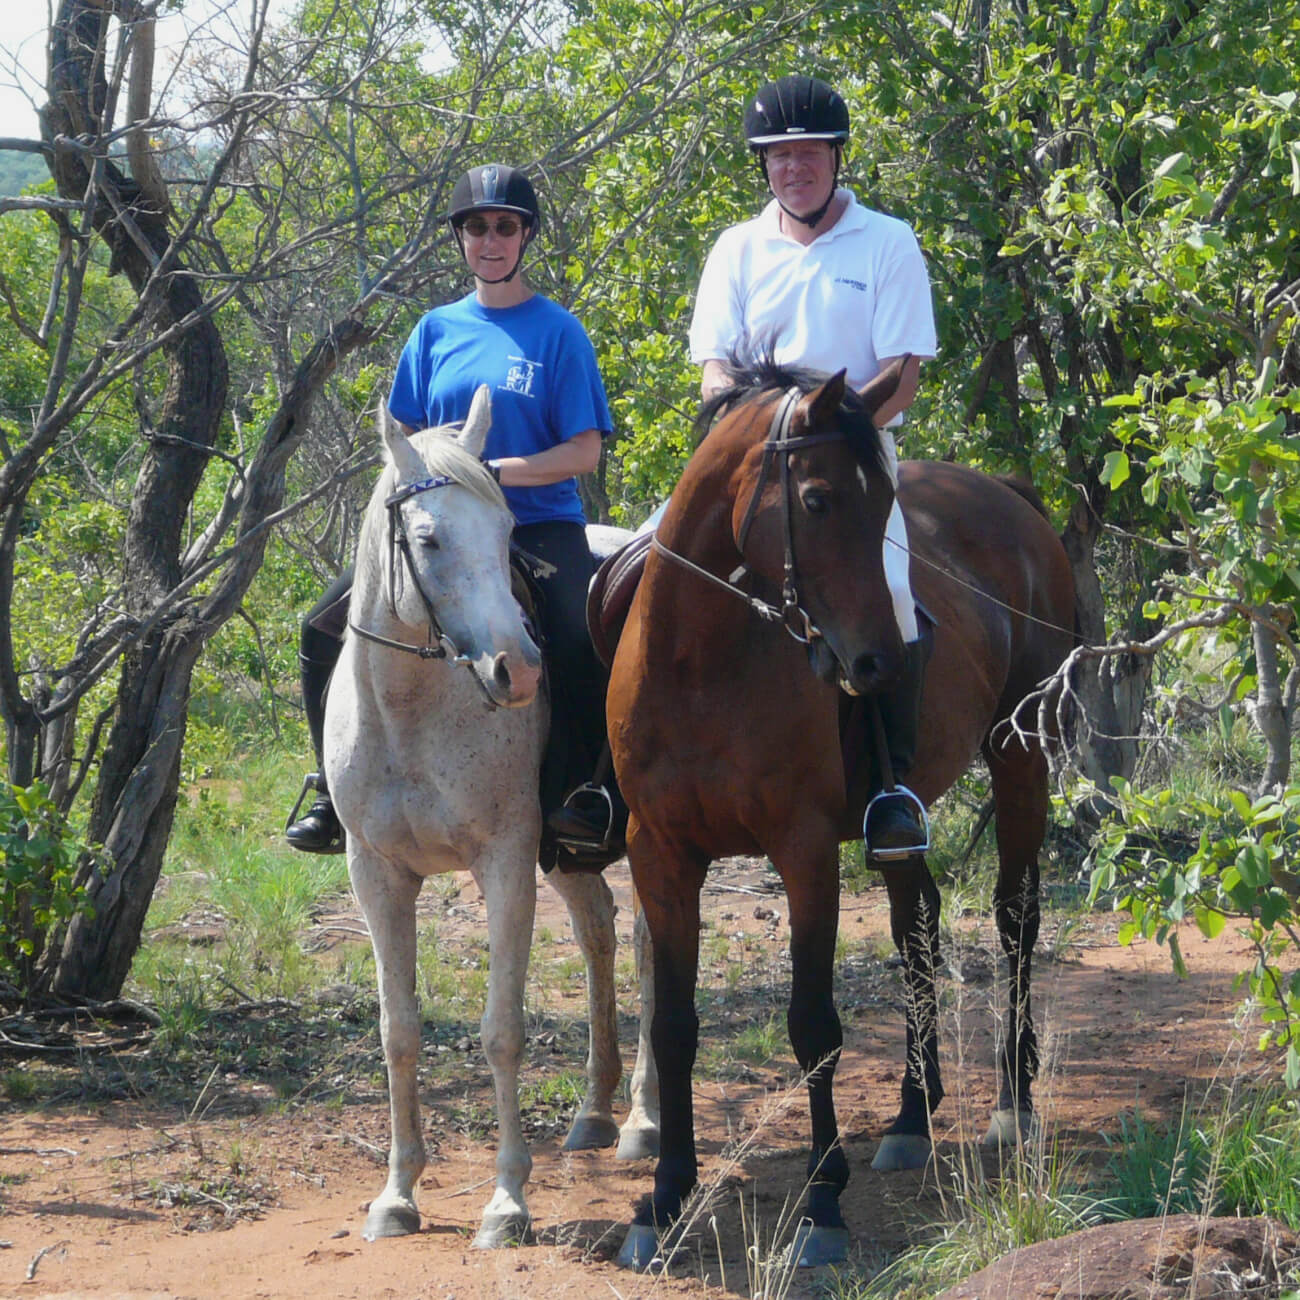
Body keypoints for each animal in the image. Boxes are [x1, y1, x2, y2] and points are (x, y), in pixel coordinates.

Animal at [608, 358, 1076, 1268]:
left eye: (885, 501)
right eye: (819, 499)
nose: (879, 662)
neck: (699, 665)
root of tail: (1008, 498)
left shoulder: (805, 851)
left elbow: (814, 1025)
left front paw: (822, 1205)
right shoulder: (661, 856)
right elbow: (673, 1026)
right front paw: (664, 1198)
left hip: (1018, 757)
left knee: (1015, 915)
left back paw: (1013, 1101)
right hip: (900, 815)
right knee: (917, 922)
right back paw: (911, 1115)